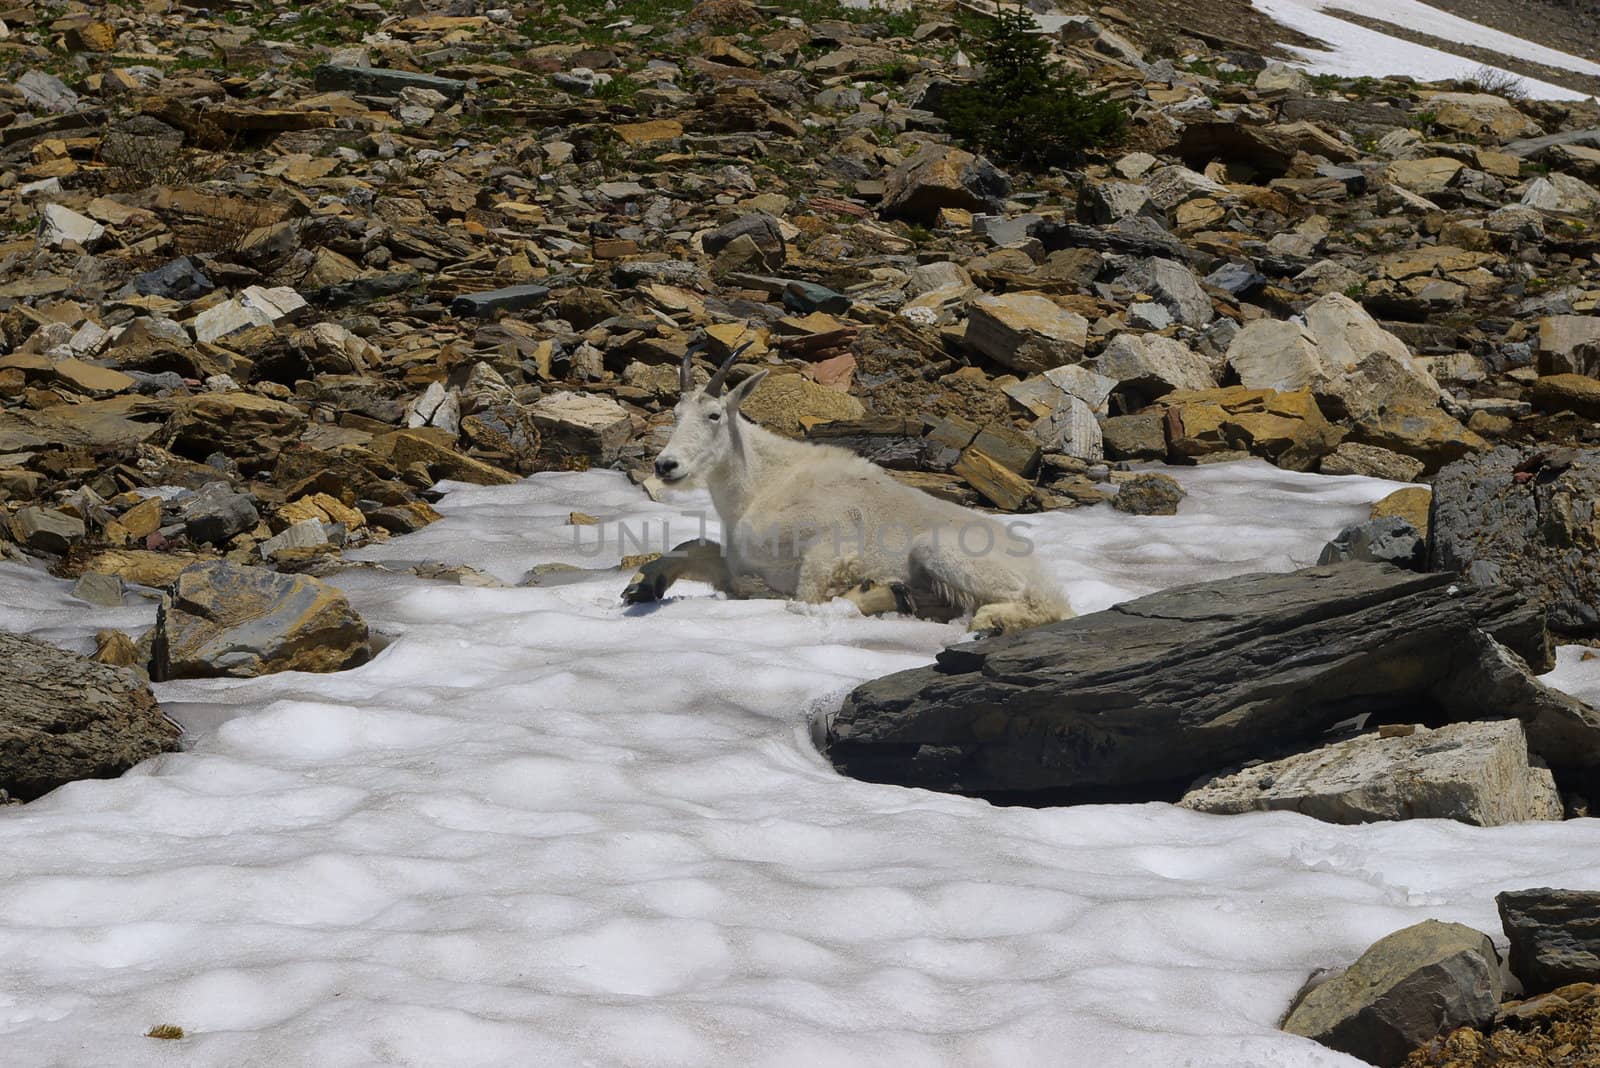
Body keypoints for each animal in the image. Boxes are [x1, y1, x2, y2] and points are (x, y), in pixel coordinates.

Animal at [624, 340, 1075, 633]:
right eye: (675, 413)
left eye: (715, 415)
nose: (666, 465)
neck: (759, 486)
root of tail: (1043, 572)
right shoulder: (739, 558)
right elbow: (692, 547)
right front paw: (640, 587)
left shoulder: (828, 548)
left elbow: (802, 599)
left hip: (942, 551)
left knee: (1041, 606)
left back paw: (989, 620)